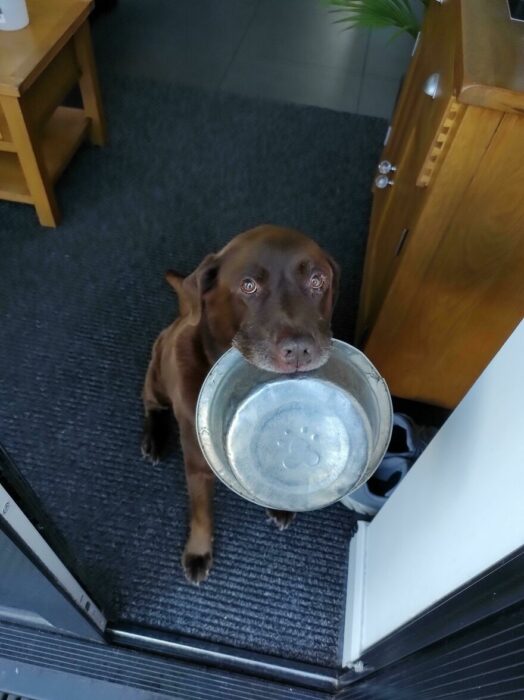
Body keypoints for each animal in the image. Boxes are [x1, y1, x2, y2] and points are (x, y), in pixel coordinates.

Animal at [143, 226, 340, 584]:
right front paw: (198, 550)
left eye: (317, 280)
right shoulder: (197, 463)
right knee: (149, 400)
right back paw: (152, 437)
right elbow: (201, 511)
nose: (299, 349)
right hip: (158, 375)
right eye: (249, 285)